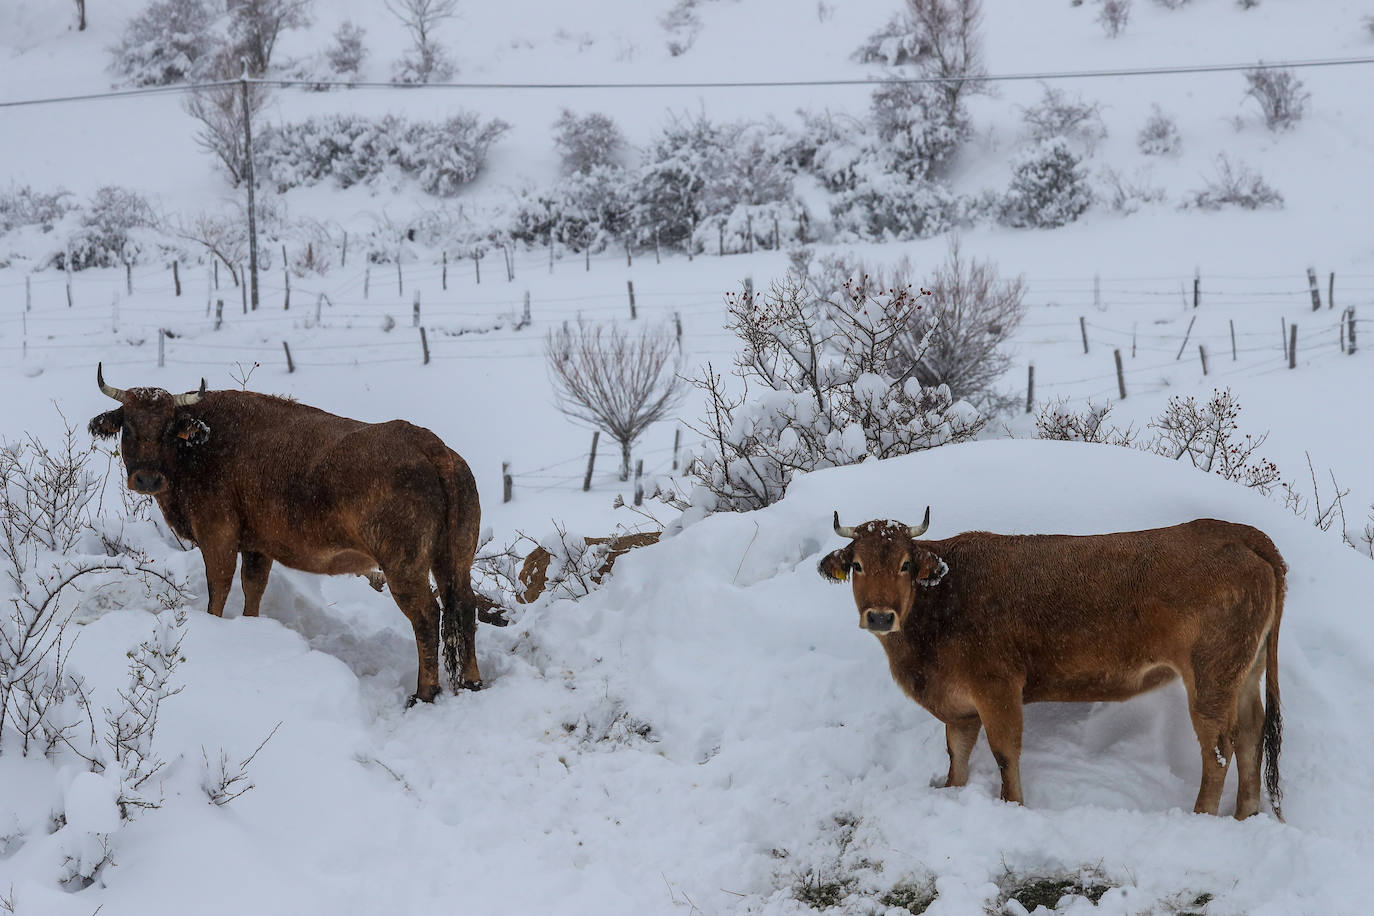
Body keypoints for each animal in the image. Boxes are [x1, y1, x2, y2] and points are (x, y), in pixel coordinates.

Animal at [88, 362, 491, 703]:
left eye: (169, 429)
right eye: (128, 425)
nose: (147, 479)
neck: (203, 442)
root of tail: (431, 448)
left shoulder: (218, 538)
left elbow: (219, 591)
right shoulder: (257, 547)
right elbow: (253, 590)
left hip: (403, 569)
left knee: (427, 616)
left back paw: (424, 693)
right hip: (454, 561)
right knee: (464, 606)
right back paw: (472, 682)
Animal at [818, 513, 1280, 818]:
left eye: (905, 564)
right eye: (857, 564)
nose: (880, 616)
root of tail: (1237, 532)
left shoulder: (997, 687)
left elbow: (1005, 753)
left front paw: (1013, 806)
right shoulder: (960, 703)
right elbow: (957, 753)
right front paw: (952, 793)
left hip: (1211, 675)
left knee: (1219, 746)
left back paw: (1201, 816)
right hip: (1245, 673)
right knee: (1251, 733)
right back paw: (1246, 815)